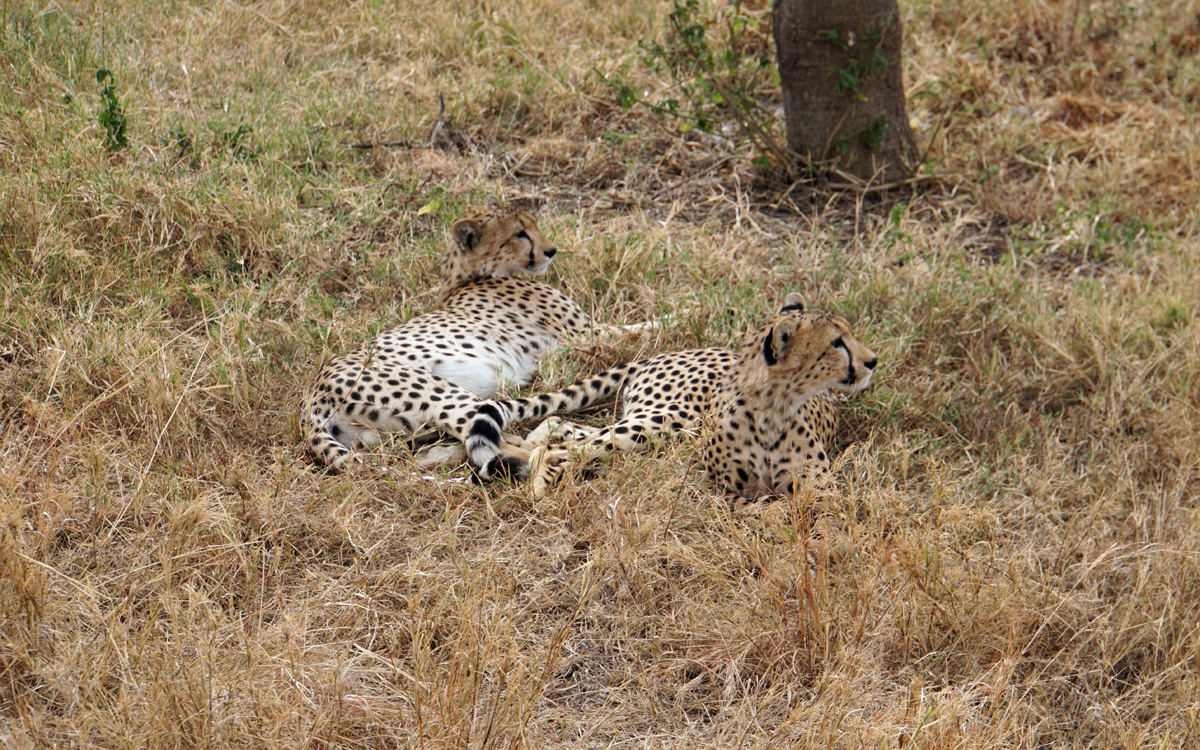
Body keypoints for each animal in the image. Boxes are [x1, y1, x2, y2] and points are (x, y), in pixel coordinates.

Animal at [302, 205, 597, 474]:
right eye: (519, 234)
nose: (551, 250)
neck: (464, 278)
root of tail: (312, 394)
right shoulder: (585, 334)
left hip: (395, 431)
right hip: (448, 395)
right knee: (506, 447)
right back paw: (577, 453)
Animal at [466, 294, 877, 501]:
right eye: (837, 343)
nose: (873, 361)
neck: (773, 409)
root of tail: (654, 356)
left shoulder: (820, 489)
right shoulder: (726, 488)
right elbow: (762, 504)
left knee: (557, 429)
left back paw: (521, 458)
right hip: (671, 422)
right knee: (562, 444)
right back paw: (536, 481)